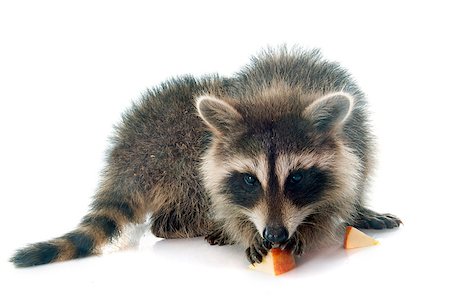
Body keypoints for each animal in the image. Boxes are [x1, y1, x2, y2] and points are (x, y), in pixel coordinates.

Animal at [9, 46, 400, 268]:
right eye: (249, 179)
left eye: (297, 178)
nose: (274, 234)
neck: (279, 87)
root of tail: (130, 150)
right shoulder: (213, 163)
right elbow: (225, 201)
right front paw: (243, 230)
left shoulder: (355, 143)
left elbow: (342, 194)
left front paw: (320, 222)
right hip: (177, 158)